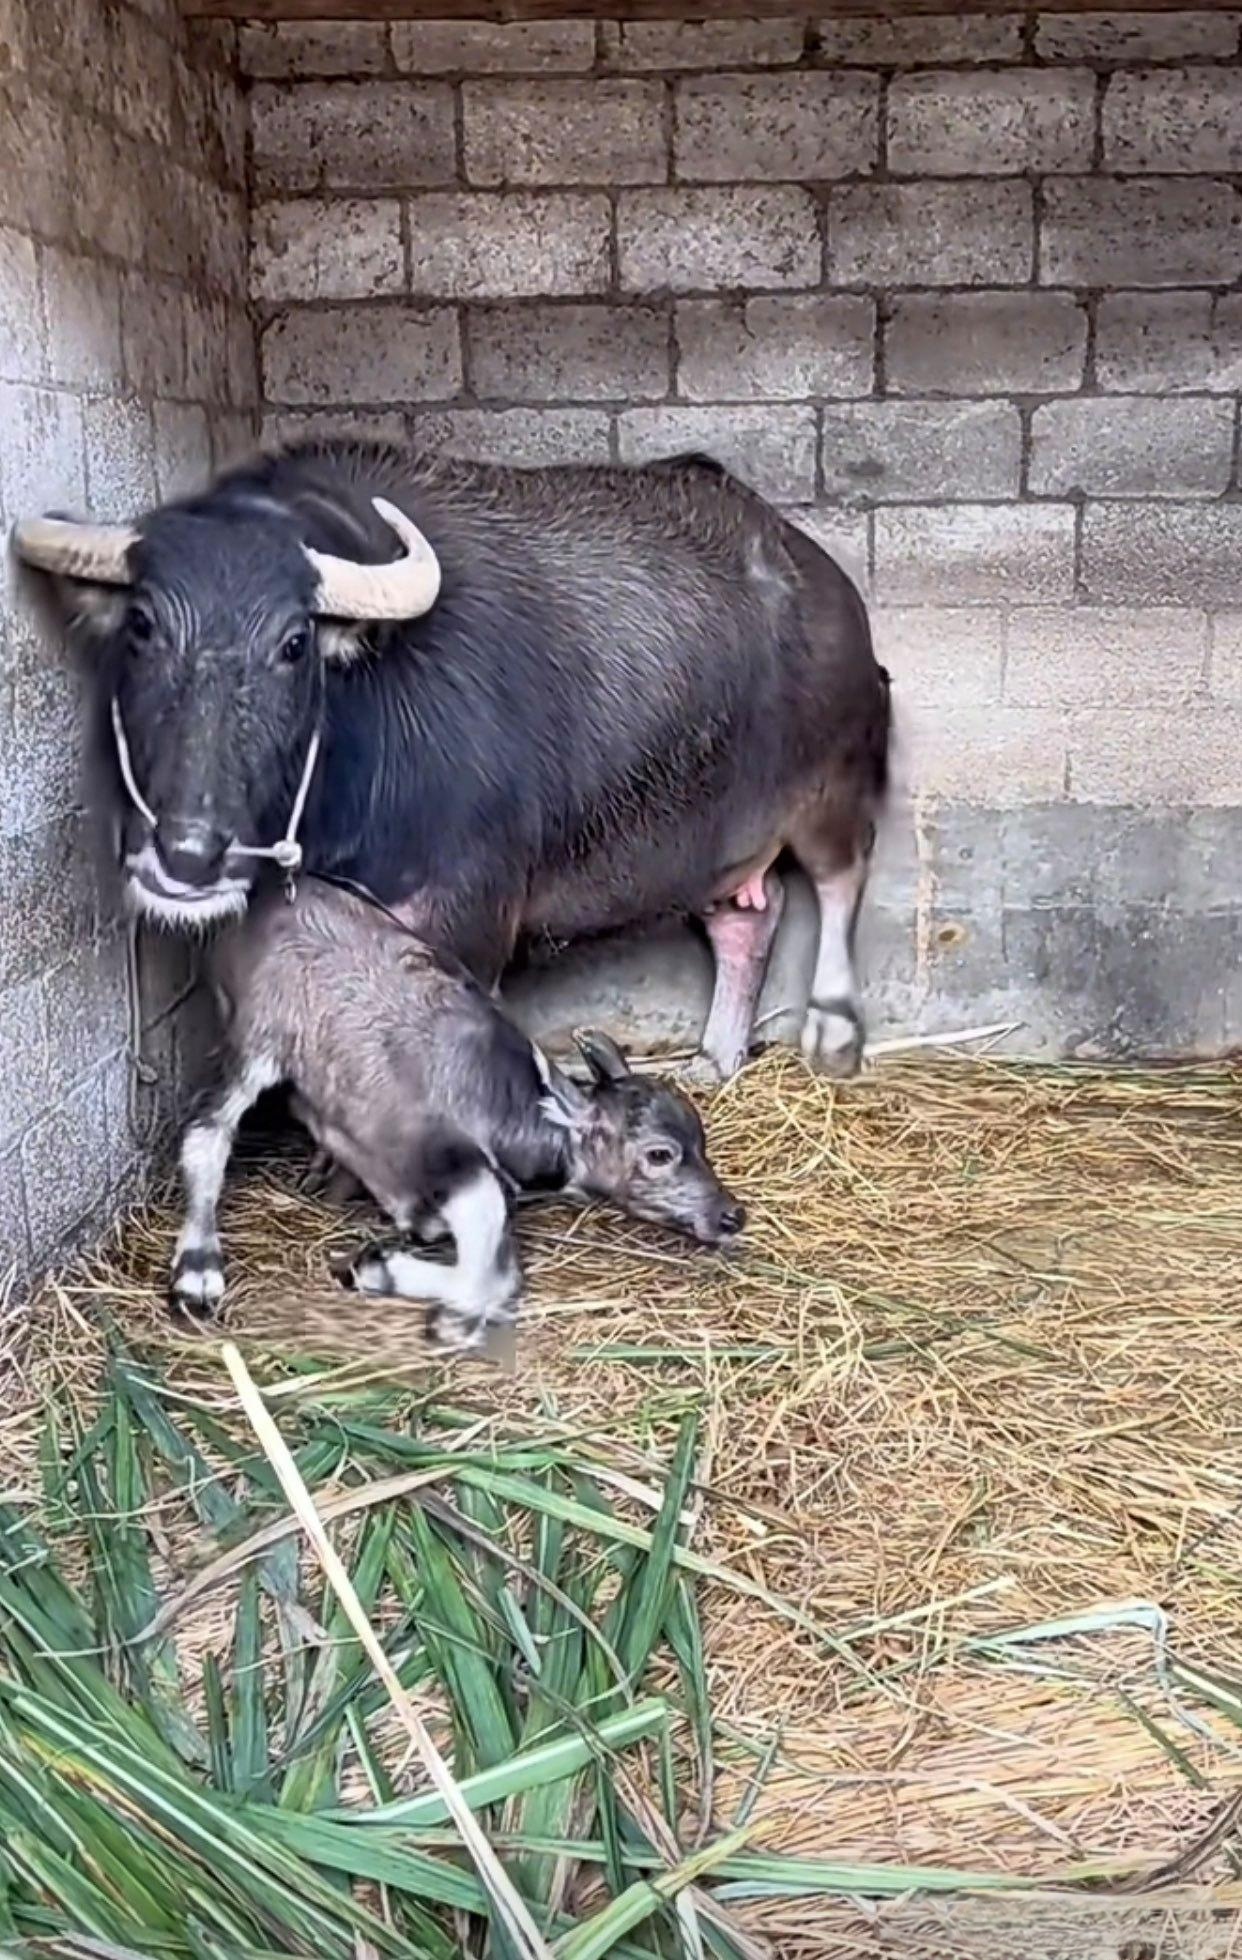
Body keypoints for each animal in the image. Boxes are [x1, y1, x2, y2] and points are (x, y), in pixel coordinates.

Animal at [16, 444, 889, 1081]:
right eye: (141, 626)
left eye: (295, 643)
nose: (189, 852)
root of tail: (822, 578)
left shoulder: (467, 920)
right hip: (707, 844)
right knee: (750, 919)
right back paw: (716, 1059)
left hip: (834, 787)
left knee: (840, 881)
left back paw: (832, 1033)